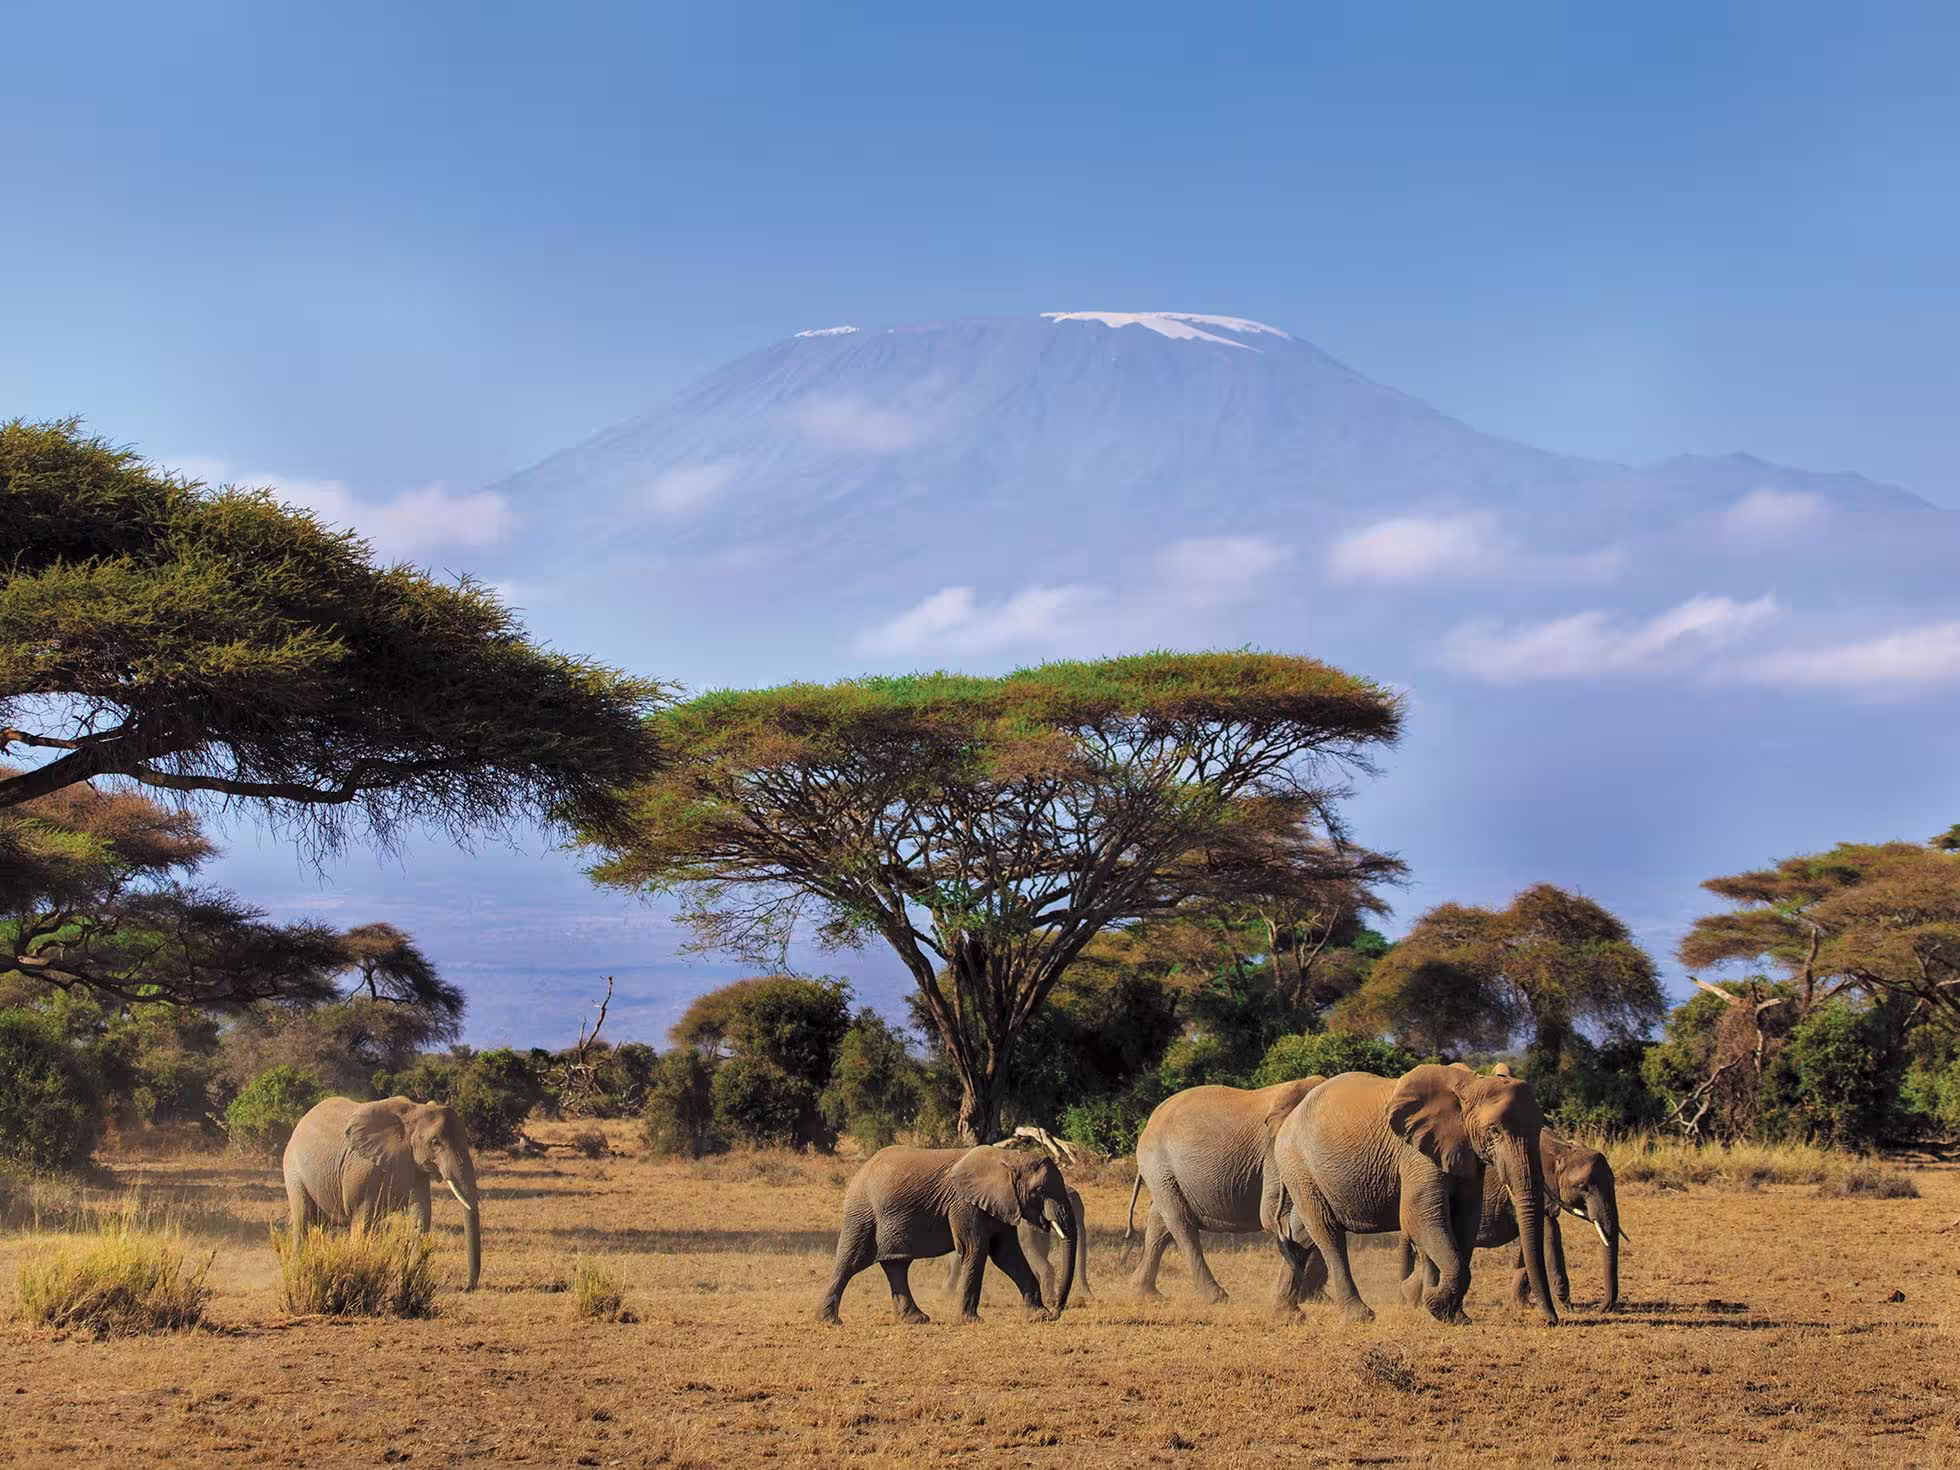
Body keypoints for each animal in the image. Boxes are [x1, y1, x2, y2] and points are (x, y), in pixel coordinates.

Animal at [282, 1095, 481, 1291]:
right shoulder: (362, 1169)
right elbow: (362, 1221)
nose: (466, 1287)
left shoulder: (415, 1167)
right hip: (292, 1168)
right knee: (302, 1218)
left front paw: (409, 1283)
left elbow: (420, 1216)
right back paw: (298, 1274)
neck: (413, 1111)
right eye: (435, 1142)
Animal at [818, 1144, 1078, 1325]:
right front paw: (972, 1321)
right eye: (1039, 1191)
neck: (1008, 1157)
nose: (1056, 1310)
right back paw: (830, 1321)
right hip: (862, 1213)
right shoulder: (963, 1203)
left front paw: (1039, 1316)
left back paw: (916, 1320)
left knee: (897, 1266)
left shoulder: (1000, 1202)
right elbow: (975, 1249)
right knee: (850, 1263)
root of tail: (860, 1170)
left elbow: (1007, 1255)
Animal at [1127, 1078, 1328, 1310]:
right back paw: (1216, 1297)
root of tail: (1150, 1121)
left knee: (1159, 1224)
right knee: (1181, 1223)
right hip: (1158, 1165)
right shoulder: (1275, 1153)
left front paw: (1314, 1297)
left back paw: (1145, 1294)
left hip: (1165, 1175)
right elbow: (1276, 1216)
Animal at [1268, 1064, 1557, 1326]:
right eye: (1494, 1130)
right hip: (1298, 1164)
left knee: (1301, 1233)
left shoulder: (1463, 1152)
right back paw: (1360, 1316)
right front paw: (1435, 1304)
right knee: (1328, 1234)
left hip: (1303, 1173)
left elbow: (1466, 1220)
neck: (1471, 1084)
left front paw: (1456, 1316)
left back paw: (1288, 1315)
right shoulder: (1417, 1154)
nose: (1552, 1320)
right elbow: (1420, 1218)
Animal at [1397, 1126, 1624, 1311]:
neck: (1562, 1148)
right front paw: (1566, 1307)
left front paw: (1521, 1304)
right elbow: (1550, 1234)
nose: (1600, 1307)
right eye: (1583, 1187)